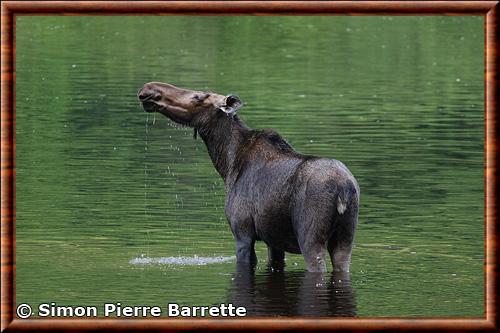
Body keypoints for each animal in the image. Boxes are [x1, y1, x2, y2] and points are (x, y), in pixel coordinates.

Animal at [137, 81, 360, 272]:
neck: (226, 164)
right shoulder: (273, 240)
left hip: (310, 238)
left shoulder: (242, 233)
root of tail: (344, 189)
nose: (148, 90)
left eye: (198, 96)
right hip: (345, 239)